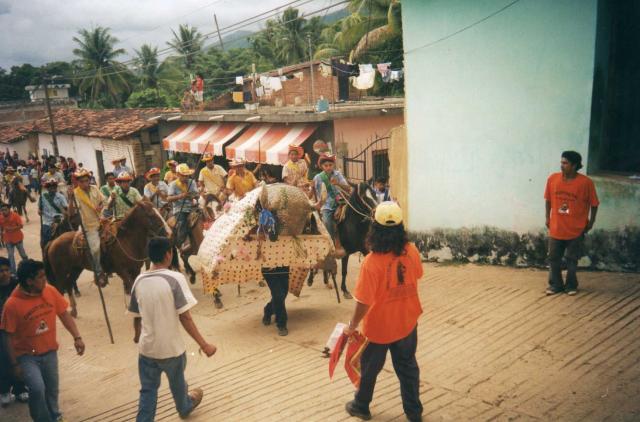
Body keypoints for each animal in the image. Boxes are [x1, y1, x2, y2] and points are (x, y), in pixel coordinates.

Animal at [43, 201, 171, 316]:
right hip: (60, 273)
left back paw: (74, 311)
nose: (168, 232)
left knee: (69, 285)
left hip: (76, 269)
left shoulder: (135, 270)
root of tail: (53, 241)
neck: (127, 240)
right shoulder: (121, 271)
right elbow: (130, 286)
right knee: (60, 289)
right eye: (151, 214)